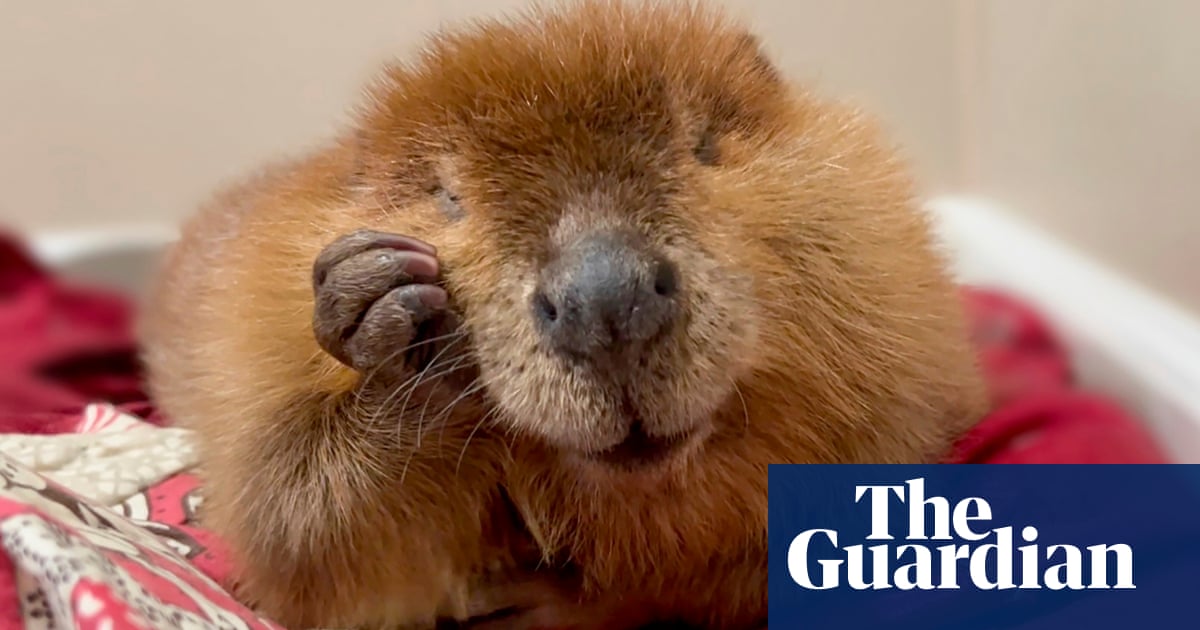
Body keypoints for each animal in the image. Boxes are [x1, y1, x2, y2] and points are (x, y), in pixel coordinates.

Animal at [138, 1, 984, 628]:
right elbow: (299, 540)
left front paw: (546, 602)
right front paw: (387, 306)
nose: (605, 299)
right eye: (448, 194)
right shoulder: (251, 347)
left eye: (704, 145)